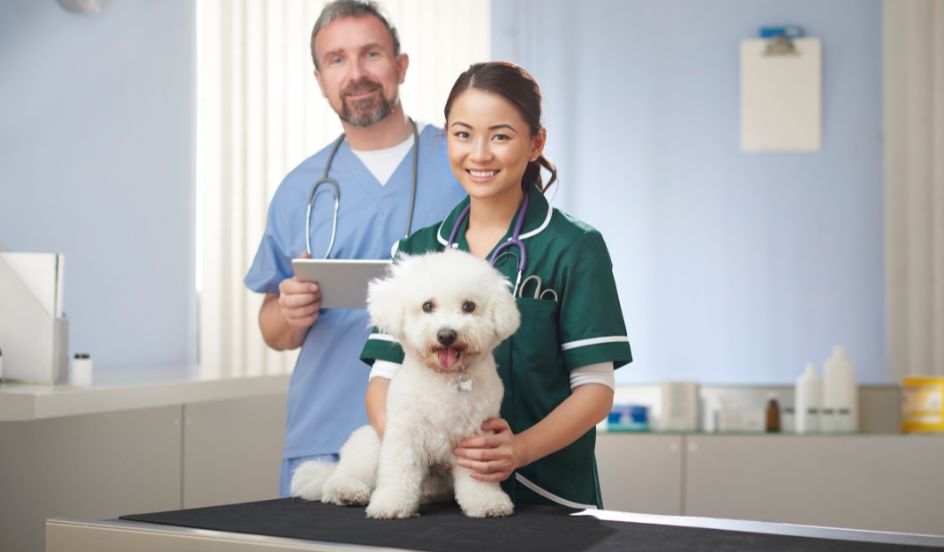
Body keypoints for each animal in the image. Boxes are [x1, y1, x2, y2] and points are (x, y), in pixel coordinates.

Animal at [290, 248, 520, 520]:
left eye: (469, 306)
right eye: (427, 306)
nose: (446, 335)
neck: (444, 378)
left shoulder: (477, 438)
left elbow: (478, 479)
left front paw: (487, 502)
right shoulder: (404, 435)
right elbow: (399, 473)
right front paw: (391, 505)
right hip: (369, 447)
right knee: (342, 477)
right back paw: (347, 492)